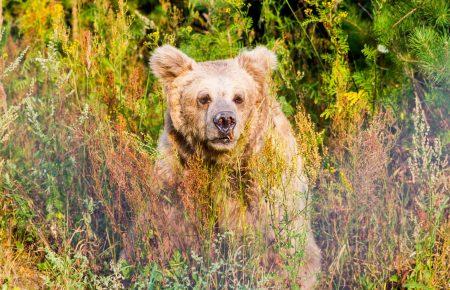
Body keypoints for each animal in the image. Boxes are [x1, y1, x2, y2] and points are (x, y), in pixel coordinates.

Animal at [128, 44, 322, 288]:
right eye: (204, 98)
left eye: (238, 97)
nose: (225, 121)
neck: (219, 161)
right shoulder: (178, 173)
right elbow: (164, 231)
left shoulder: (262, 180)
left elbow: (278, 239)